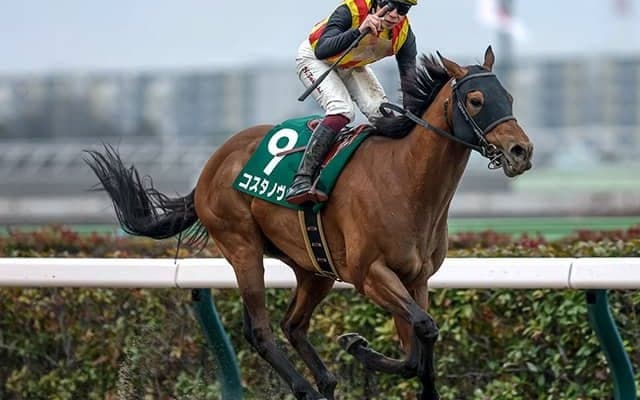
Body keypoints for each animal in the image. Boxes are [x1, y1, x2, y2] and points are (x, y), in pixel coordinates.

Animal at [85, 46, 533, 400]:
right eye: (476, 99)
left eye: (509, 95)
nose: (521, 151)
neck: (406, 180)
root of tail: (210, 167)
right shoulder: (369, 274)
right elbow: (422, 329)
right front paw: (355, 346)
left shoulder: (416, 278)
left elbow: (419, 343)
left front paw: (364, 351)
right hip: (243, 247)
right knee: (261, 330)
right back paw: (307, 389)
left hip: (314, 268)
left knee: (293, 324)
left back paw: (326, 381)